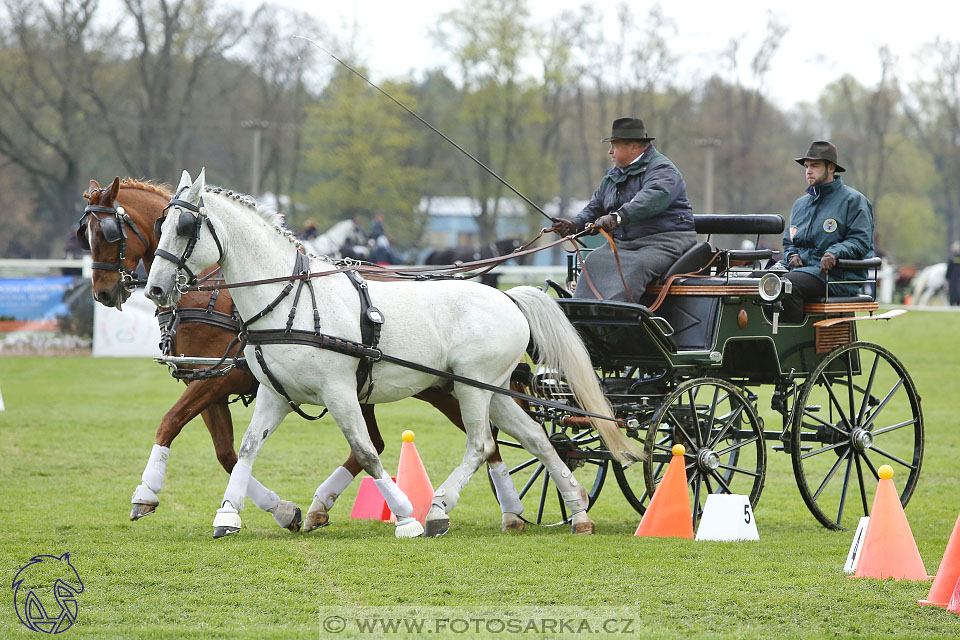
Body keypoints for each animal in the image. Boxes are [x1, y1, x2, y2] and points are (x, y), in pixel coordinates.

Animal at [79, 179, 524, 528]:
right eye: (86, 234)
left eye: (110, 232)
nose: (105, 293)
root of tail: (504, 297)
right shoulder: (213, 381)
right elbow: (228, 451)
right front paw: (274, 509)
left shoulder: (223, 379)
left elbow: (172, 423)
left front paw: (146, 492)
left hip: (451, 387)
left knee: (485, 442)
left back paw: (492, 507)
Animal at [146, 170, 640, 540]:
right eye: (160, 225)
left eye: (185, 228)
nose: (153, 289)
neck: (290, 301)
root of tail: (508, 297)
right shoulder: (275, 394)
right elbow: (246, 449)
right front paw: (229, 515)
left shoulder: (339, 391)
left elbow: (366, 452)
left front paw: (405, 517)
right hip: (492, 389)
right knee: (536, 438)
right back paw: (577, 511)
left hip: (470, 388)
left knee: (481, 444)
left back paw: (439, 508)